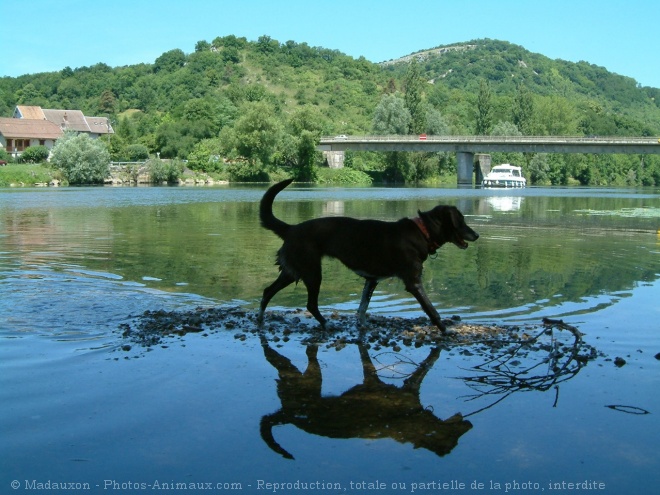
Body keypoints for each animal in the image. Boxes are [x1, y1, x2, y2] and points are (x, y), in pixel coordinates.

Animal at [258, 178, 480, 334]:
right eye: (461, 220)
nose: (476, 235)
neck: (422, 231)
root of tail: (291, 229)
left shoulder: (372, 280)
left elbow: (362, 309)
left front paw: (362, 326)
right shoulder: (413, 282)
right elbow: (432, 311)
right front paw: (446, 331)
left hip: (293, 270)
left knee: (267, 291)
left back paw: (260, 319)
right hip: (312, 272)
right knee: (310, 304)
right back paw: (326, 324)